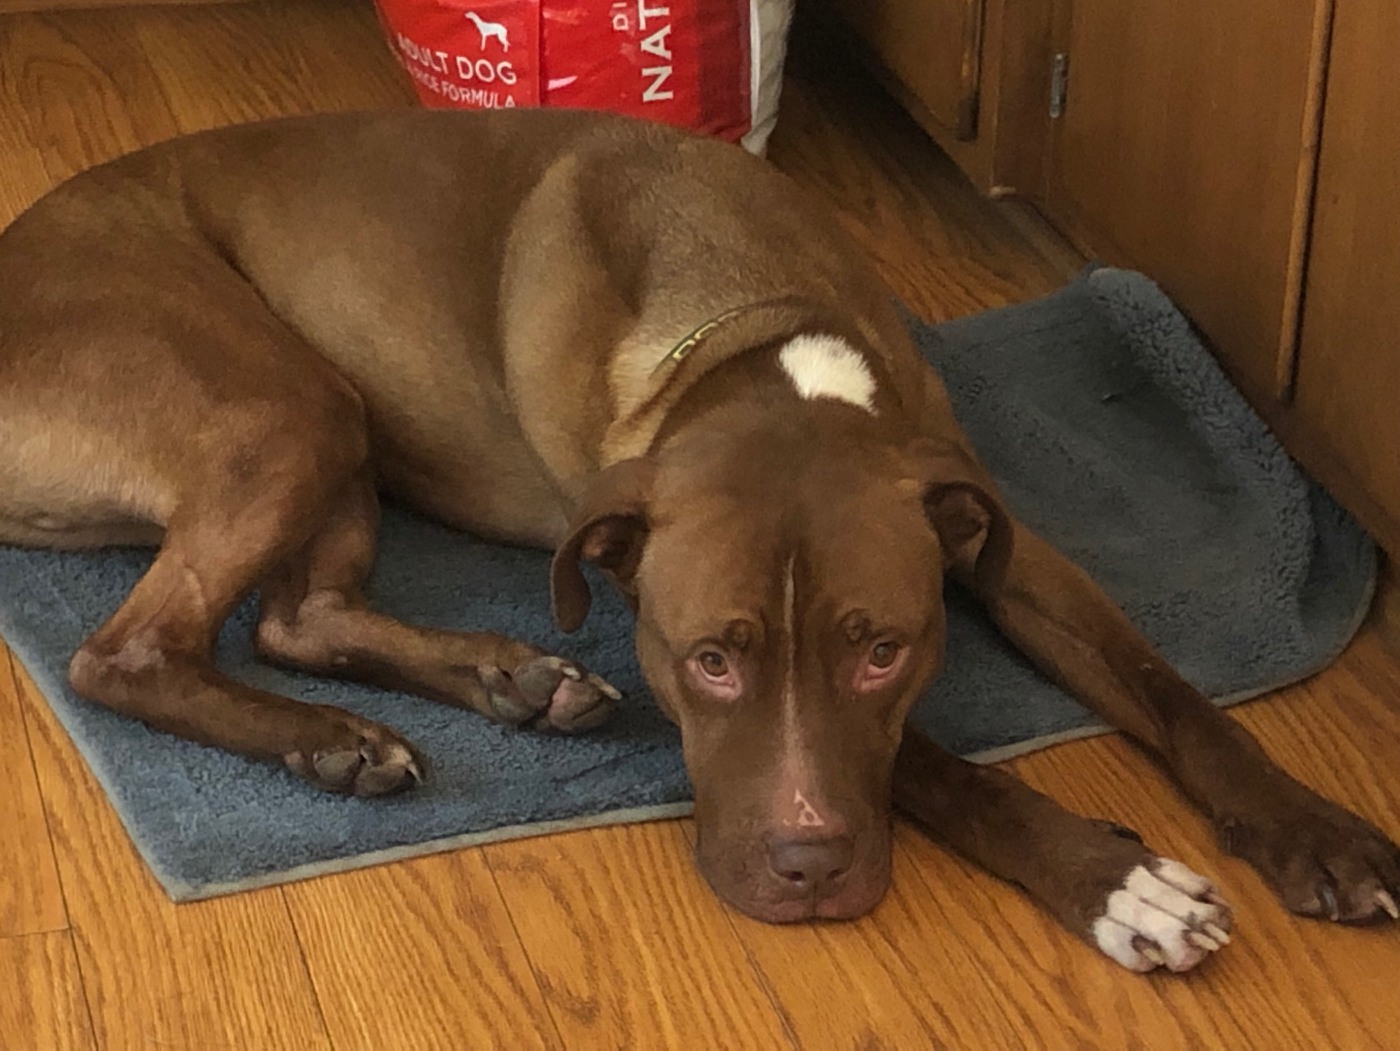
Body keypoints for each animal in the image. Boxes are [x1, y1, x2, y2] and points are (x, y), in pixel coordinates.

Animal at [2, 107, 1400, 968]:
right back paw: (331, 740)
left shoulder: (998, 540)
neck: (753, 329)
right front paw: (1111, 881)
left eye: (884, 651)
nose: (805, 869)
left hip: (335, 433)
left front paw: (1309, 829)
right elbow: (946, 771)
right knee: (128, 652)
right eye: (708, 661)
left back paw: (503, 681)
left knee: (297, 617)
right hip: (286, 401)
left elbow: (1175, 695)